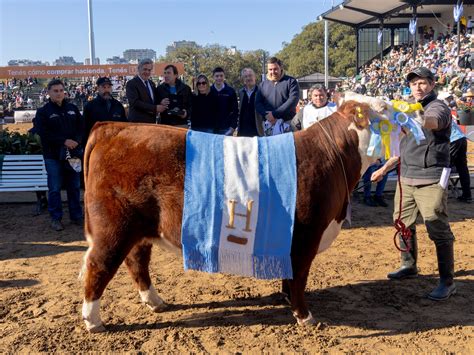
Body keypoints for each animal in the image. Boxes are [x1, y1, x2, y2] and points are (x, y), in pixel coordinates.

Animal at [80, 98, 382, 332]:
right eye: (385, 110)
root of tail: (112, 127)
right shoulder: (306, 236)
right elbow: (298, 277)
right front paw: (304, 317)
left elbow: (289, 276)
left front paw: (285, 300)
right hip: (114, 228)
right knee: (99, 264)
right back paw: (93, 321)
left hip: (141, 230)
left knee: (137, 261)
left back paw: (155, 302)